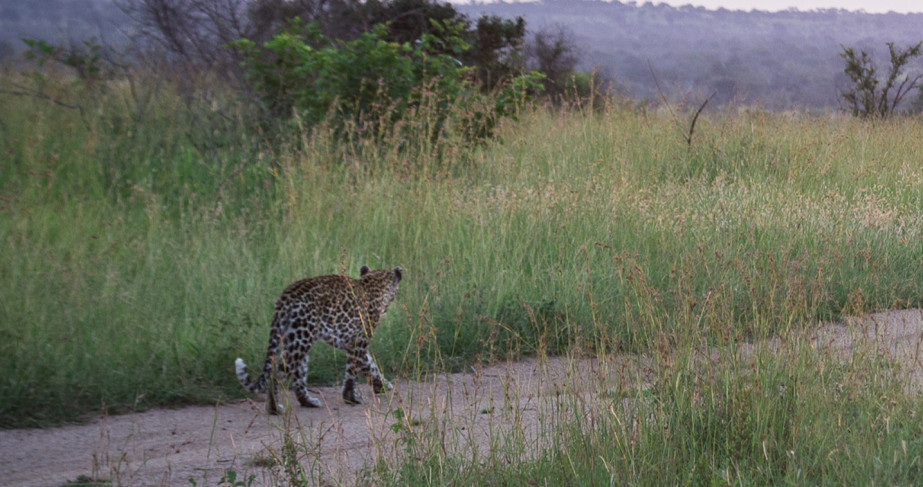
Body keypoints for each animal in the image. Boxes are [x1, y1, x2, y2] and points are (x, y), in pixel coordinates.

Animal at [235, 265, 402, 414]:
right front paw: (352, 397)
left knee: (299, 377)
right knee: (276, 373)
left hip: (295, 339)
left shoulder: (353, 343)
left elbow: (370, 365)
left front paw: (383, 385)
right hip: (300, 340)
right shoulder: (359, 342)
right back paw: (274, 408)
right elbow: (353, 372)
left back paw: (309, 402)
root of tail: (286, 297)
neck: (374, 283)